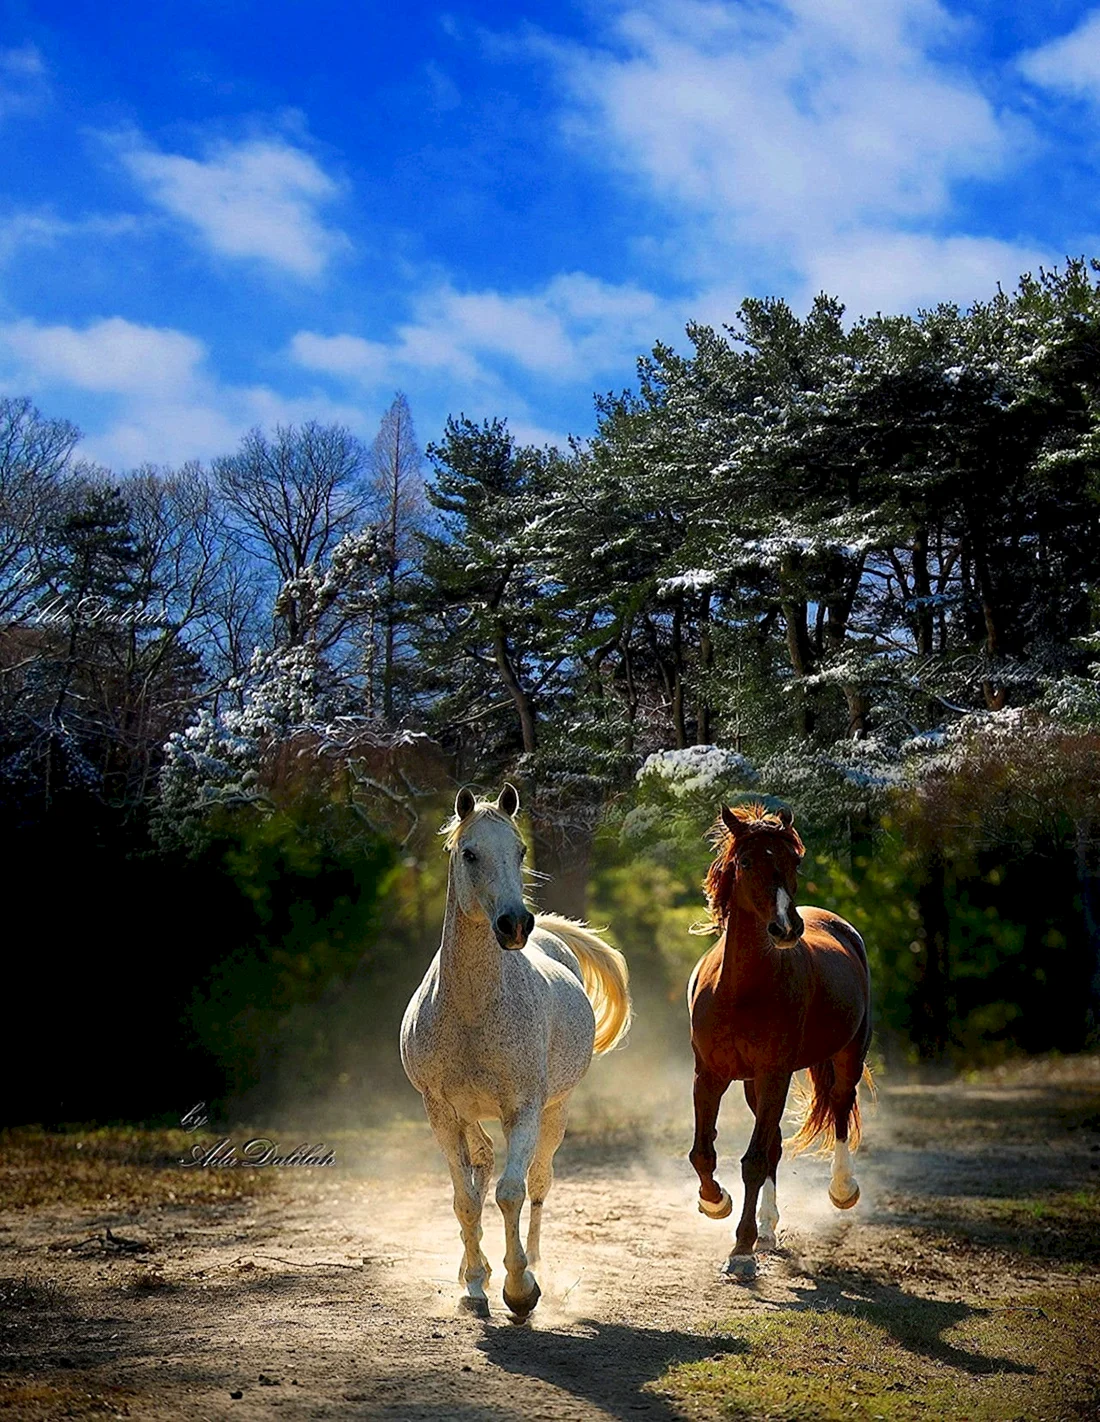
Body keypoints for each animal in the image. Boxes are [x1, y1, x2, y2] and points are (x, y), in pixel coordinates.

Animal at [403, 784, 628, 1313]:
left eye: (521, 850)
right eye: (469, 853)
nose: (514, 925)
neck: (471, 1010)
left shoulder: (523, 1109)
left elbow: (511, 1192)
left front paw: (521, 1289)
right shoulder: (440, 1111)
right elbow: (466, 1197)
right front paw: (474, 1282)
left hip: (556, 1110)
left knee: (539, 1182)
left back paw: (538, 1266)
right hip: (469, 1114)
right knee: (481, 1163)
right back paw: (474, 1272)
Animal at [687, 802, 881, 1279]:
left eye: (795, 861)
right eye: (745, 862)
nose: (785, 927)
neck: (740, 990)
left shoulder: (774, 1073)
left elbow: (754, 1161)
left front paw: (740, 1248)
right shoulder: (710, 1075)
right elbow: (704, 1153)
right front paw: (715, 1202)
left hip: (847, 1054)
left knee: (840, 1108)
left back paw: (842, 1189)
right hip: (754, 1085)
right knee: (773, 1140)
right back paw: (768, 1228)